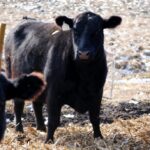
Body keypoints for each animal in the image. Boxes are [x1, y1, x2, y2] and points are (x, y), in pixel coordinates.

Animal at [4, 11, 122, 142]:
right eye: (75, 30)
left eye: (97, 30)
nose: (83, 53)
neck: (84, 74)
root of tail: (25, 21)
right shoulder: (53, 93)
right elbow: (53, 120)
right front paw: (49, 141)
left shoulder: (97, 92)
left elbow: (95, 118)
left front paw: (99, 137)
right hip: (14, 76)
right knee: (18, 106)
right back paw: (19, 131)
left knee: (37, 104)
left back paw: (41, 128)